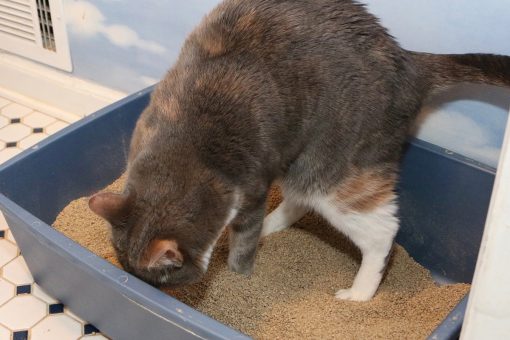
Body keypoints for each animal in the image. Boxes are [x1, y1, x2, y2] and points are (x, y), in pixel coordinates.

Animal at [88, 0, 510, 302]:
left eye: (163, 281)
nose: (151, 292)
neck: (183, 150)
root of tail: (409, 60)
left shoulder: (251, 190)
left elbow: (243, 248)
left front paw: (241, 277)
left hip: (331, 170)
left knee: (381, 231)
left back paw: (358, 294)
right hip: (299, 160)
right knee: (297, 203)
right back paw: (274, 228)